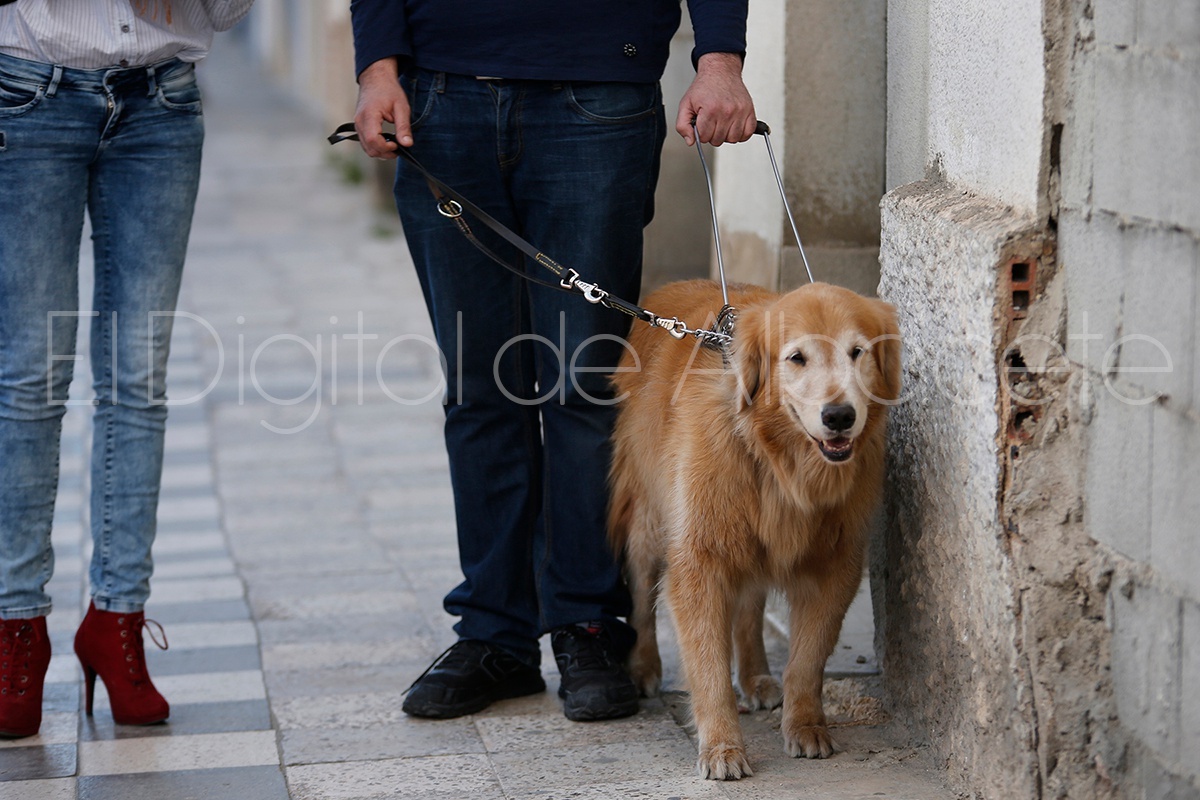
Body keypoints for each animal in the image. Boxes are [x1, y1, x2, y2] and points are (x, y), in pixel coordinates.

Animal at [614, 278, 897, 777]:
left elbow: (806, 661)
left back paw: (756, 676)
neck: (778, 461)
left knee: (749, 607)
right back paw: (644, 664)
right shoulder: (699, 560)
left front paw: (805, 725)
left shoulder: (835, 565)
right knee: (643, 592)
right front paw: (722, 746)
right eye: (797, 357)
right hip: (652, 520)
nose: (839, 416)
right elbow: (707, 664)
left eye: (857, 352)